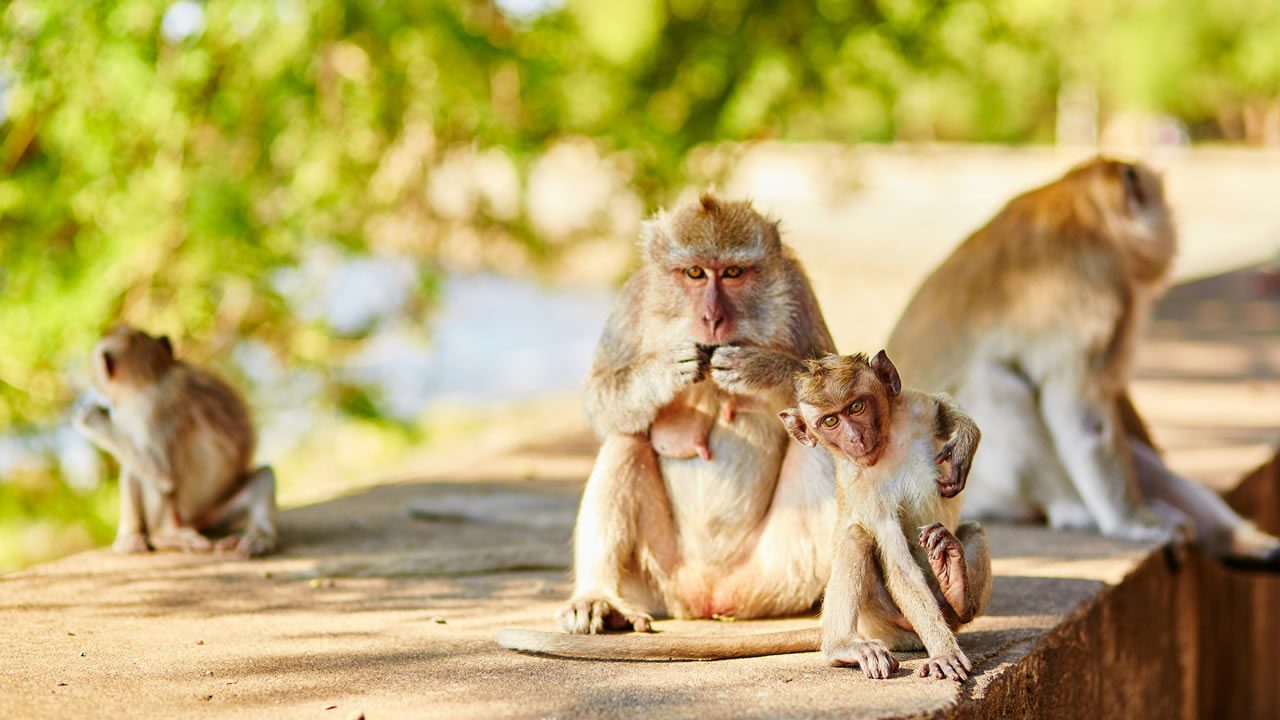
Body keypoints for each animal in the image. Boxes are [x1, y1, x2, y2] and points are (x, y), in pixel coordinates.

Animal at [72, 325, 277, 556]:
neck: (156, 371)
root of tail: (195, 520)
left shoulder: (150, 405)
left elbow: (162, 471)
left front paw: (92, 419)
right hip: (215, 513)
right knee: (265, 475)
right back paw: (261, 537)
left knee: (144, 472)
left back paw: (160, 535)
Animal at [491, 348, 988, 676]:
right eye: (829, 421)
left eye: (858, 405)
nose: (854, 438)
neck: (886, 447)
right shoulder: (863, 487)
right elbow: (895, 561)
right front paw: (943, 653)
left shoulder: (913, 408)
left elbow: (938, 403)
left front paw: (964, 439)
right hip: (886, 619)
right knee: (857, 539)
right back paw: (844, 647)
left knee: (973, 532)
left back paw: (954, 580)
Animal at [885, 158, 1280, 566]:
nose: (1169, 225)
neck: (1086, 209)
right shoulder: (1096, 286)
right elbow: (1079, 414)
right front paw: (1134, 520)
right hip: (968, 486)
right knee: (991, 382)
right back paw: (1075, 511)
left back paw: (1237, 539)